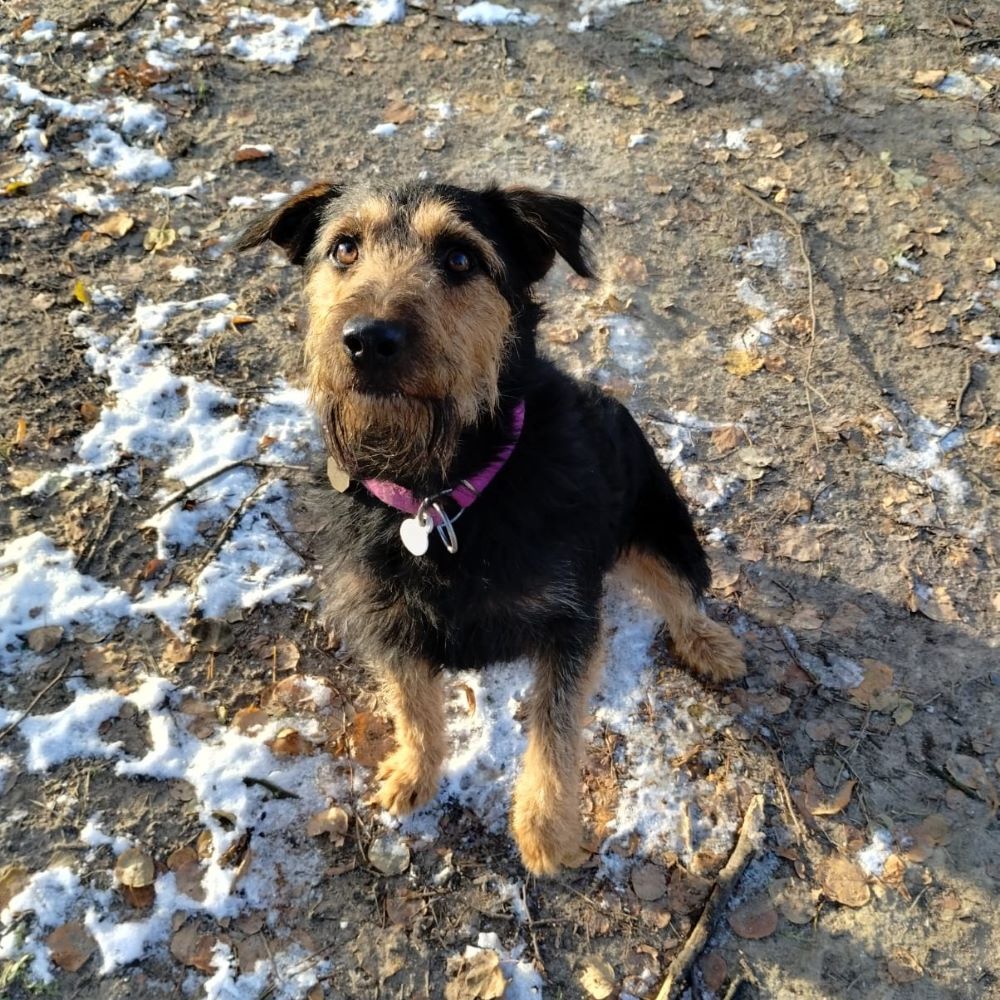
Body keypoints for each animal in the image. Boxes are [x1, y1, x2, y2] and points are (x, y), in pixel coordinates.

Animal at [236, 181, 745, 875]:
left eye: (459, 258)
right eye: (344, 248)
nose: (368, 339)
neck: (437, 495)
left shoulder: (569, 619)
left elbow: (555, 728)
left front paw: (545, 829)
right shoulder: (387, 623)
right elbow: (413, 705)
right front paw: (413, 773)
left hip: (658, 529)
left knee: (683, 593)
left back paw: (710, 644)